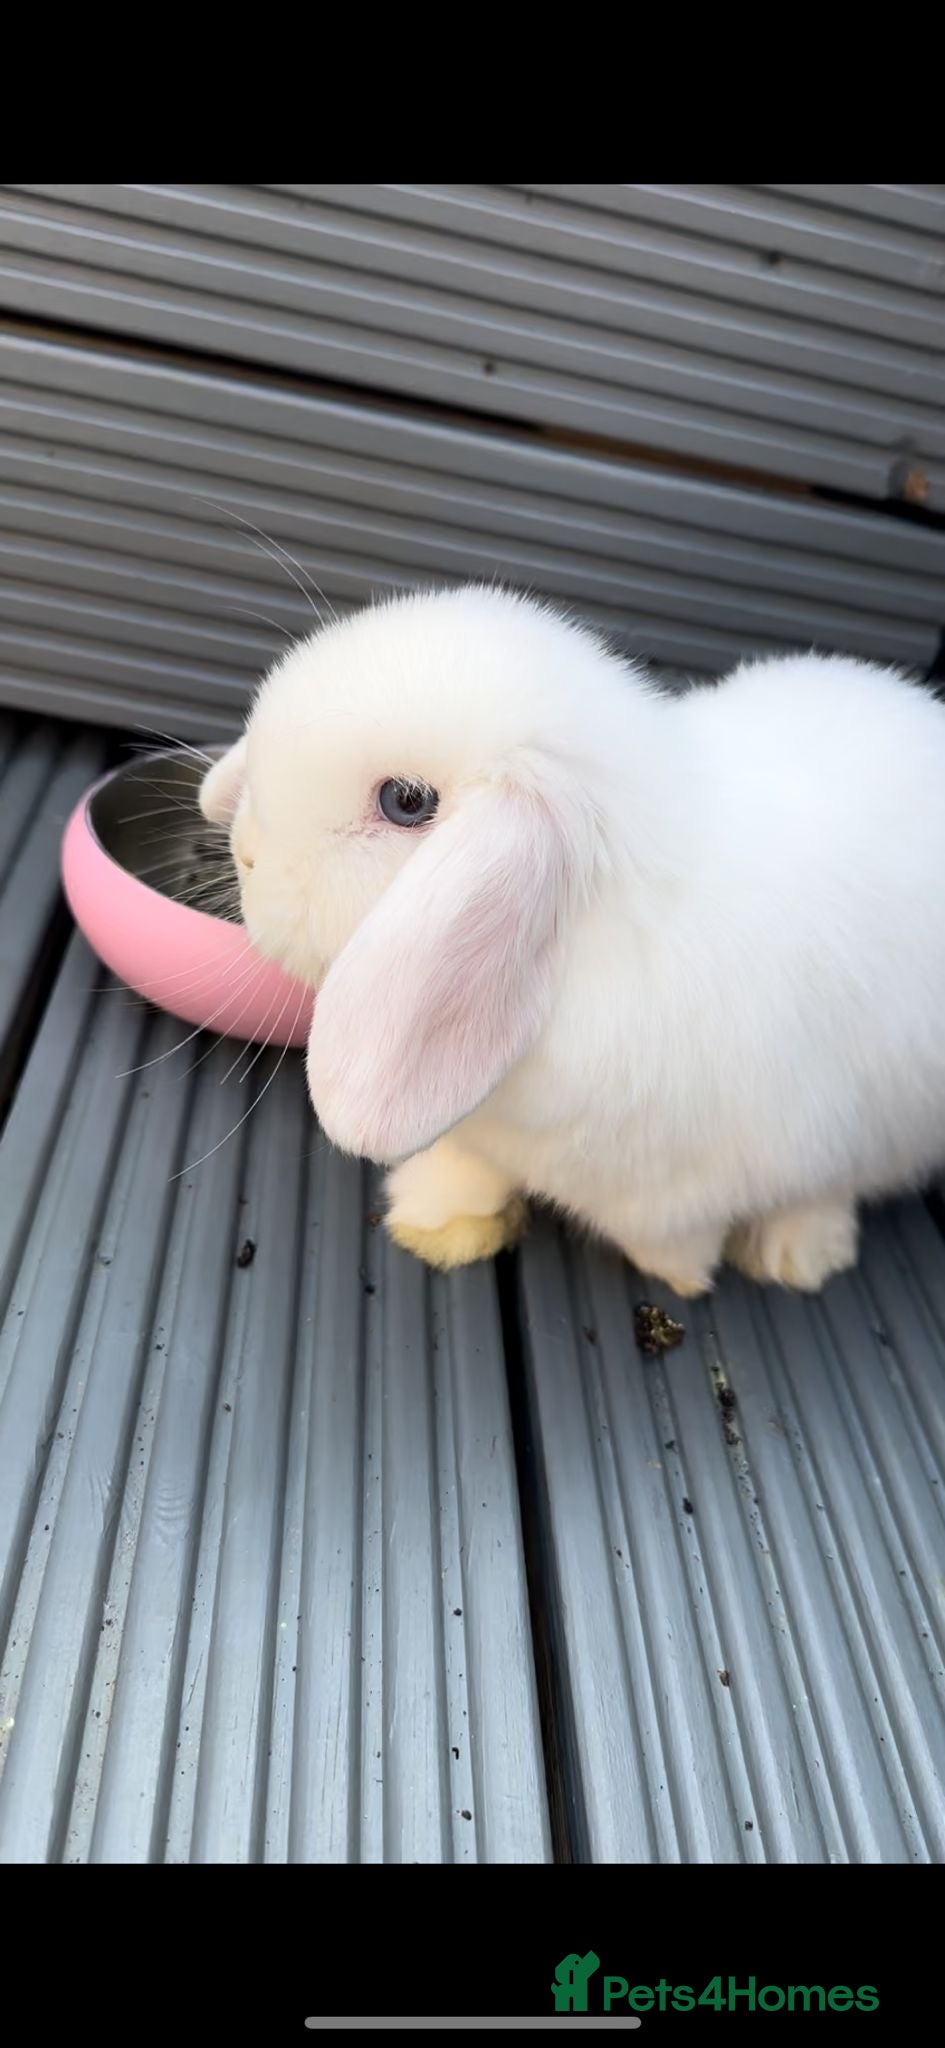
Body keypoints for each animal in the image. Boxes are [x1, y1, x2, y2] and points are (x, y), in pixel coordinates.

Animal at [199, 583, 945, 1297]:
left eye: (405, 802)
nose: (245, 854)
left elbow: (685, 1232)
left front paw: (678, 1273)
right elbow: (469, 1168)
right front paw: (435, 1221)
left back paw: (796, 1256)